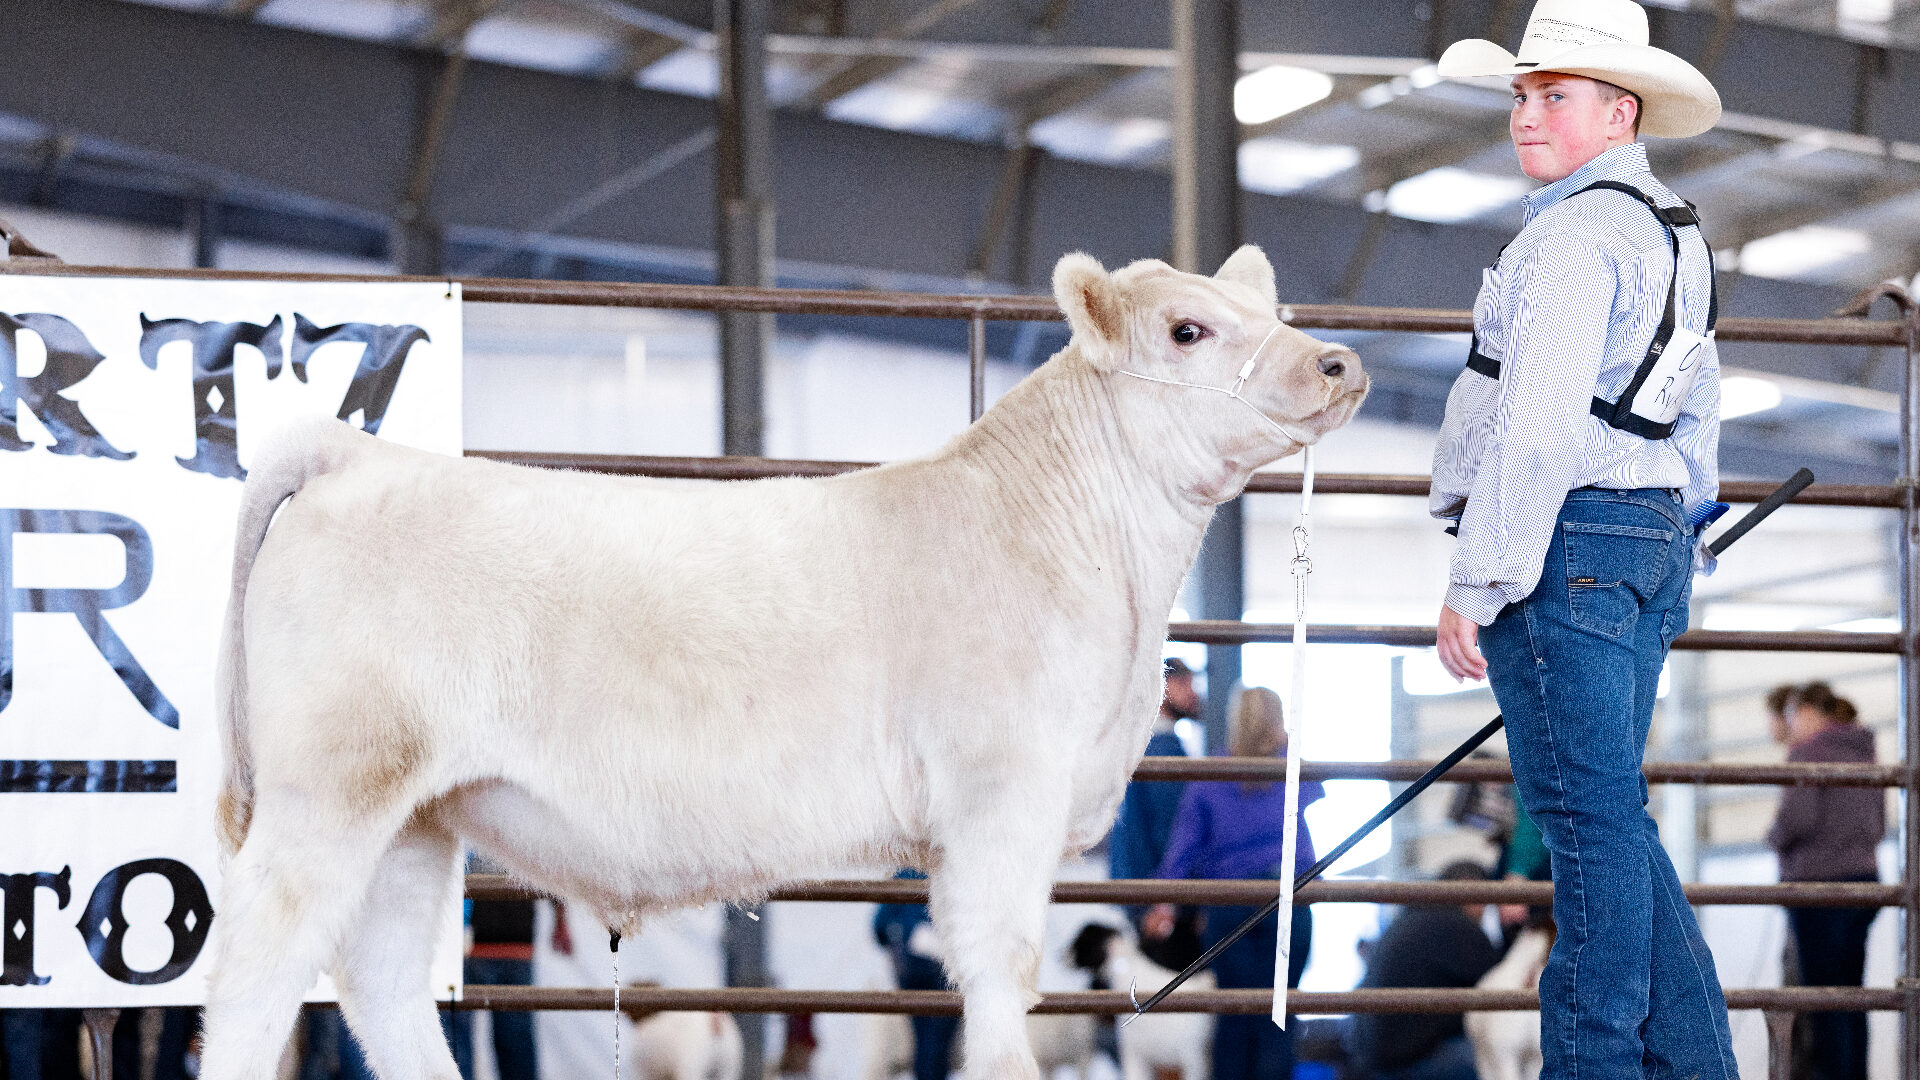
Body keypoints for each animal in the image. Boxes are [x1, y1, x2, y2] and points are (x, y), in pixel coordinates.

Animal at [197, 246, 1367, 1080]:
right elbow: (1003, 981)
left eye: (1266, 312)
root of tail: (354, 454)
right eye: (1187, 328)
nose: (1338, 361)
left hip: (415, 816)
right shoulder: (1001, 792)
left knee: (384, 988)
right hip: (330, 792)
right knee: (254, 980)